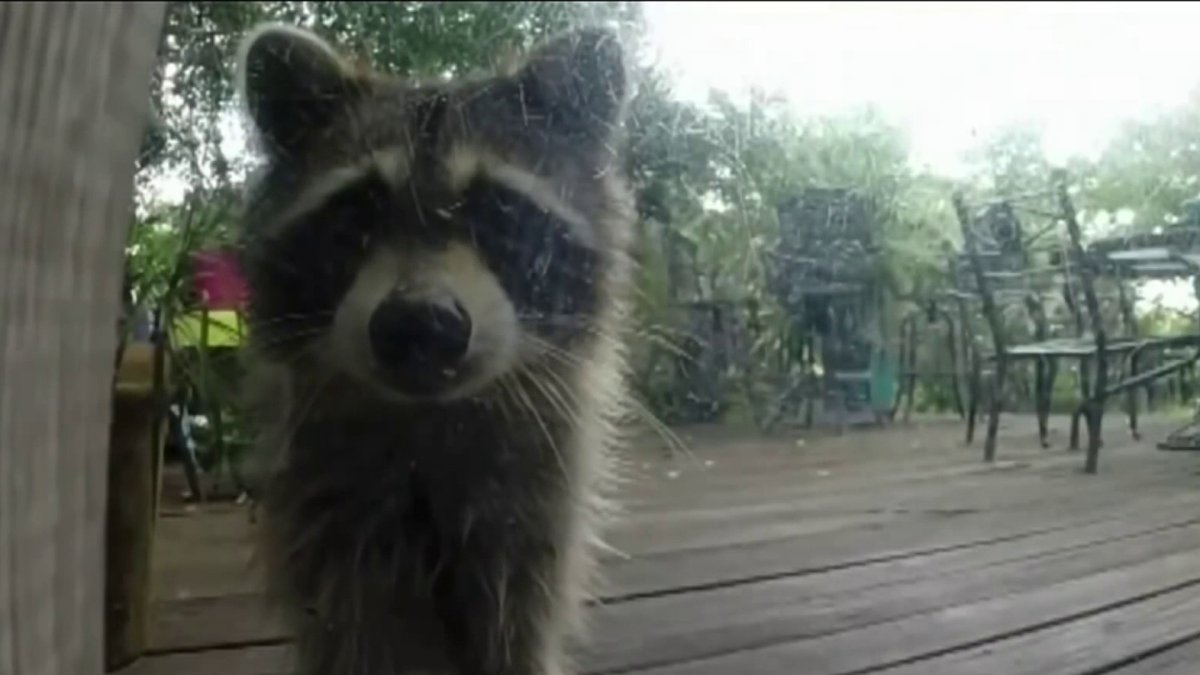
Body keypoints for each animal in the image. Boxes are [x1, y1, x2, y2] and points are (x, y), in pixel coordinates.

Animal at [234, 22, 635, 675]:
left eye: (499, 211)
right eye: (357, 215)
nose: (421, 323)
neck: (431, 418)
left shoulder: (531, 524)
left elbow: (516, 636)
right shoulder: (330, 525)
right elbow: (353, 634)